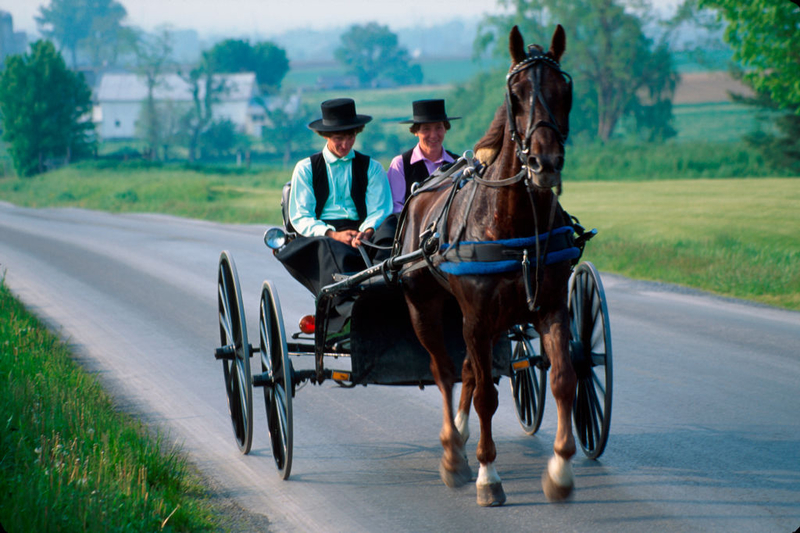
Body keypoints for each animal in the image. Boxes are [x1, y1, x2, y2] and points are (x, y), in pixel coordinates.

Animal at [398, 26, 576, 508]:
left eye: (565, 90)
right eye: (515, 95)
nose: (544, 163)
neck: (514, 223)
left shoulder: (551, 308)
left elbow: (563, 381)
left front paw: (560, 470)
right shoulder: (476, 318)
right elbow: (485, 398)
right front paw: (487, 475)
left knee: (465, 370)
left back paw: (459, 438)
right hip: (425, 307)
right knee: (444, 372)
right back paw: (452, 453)